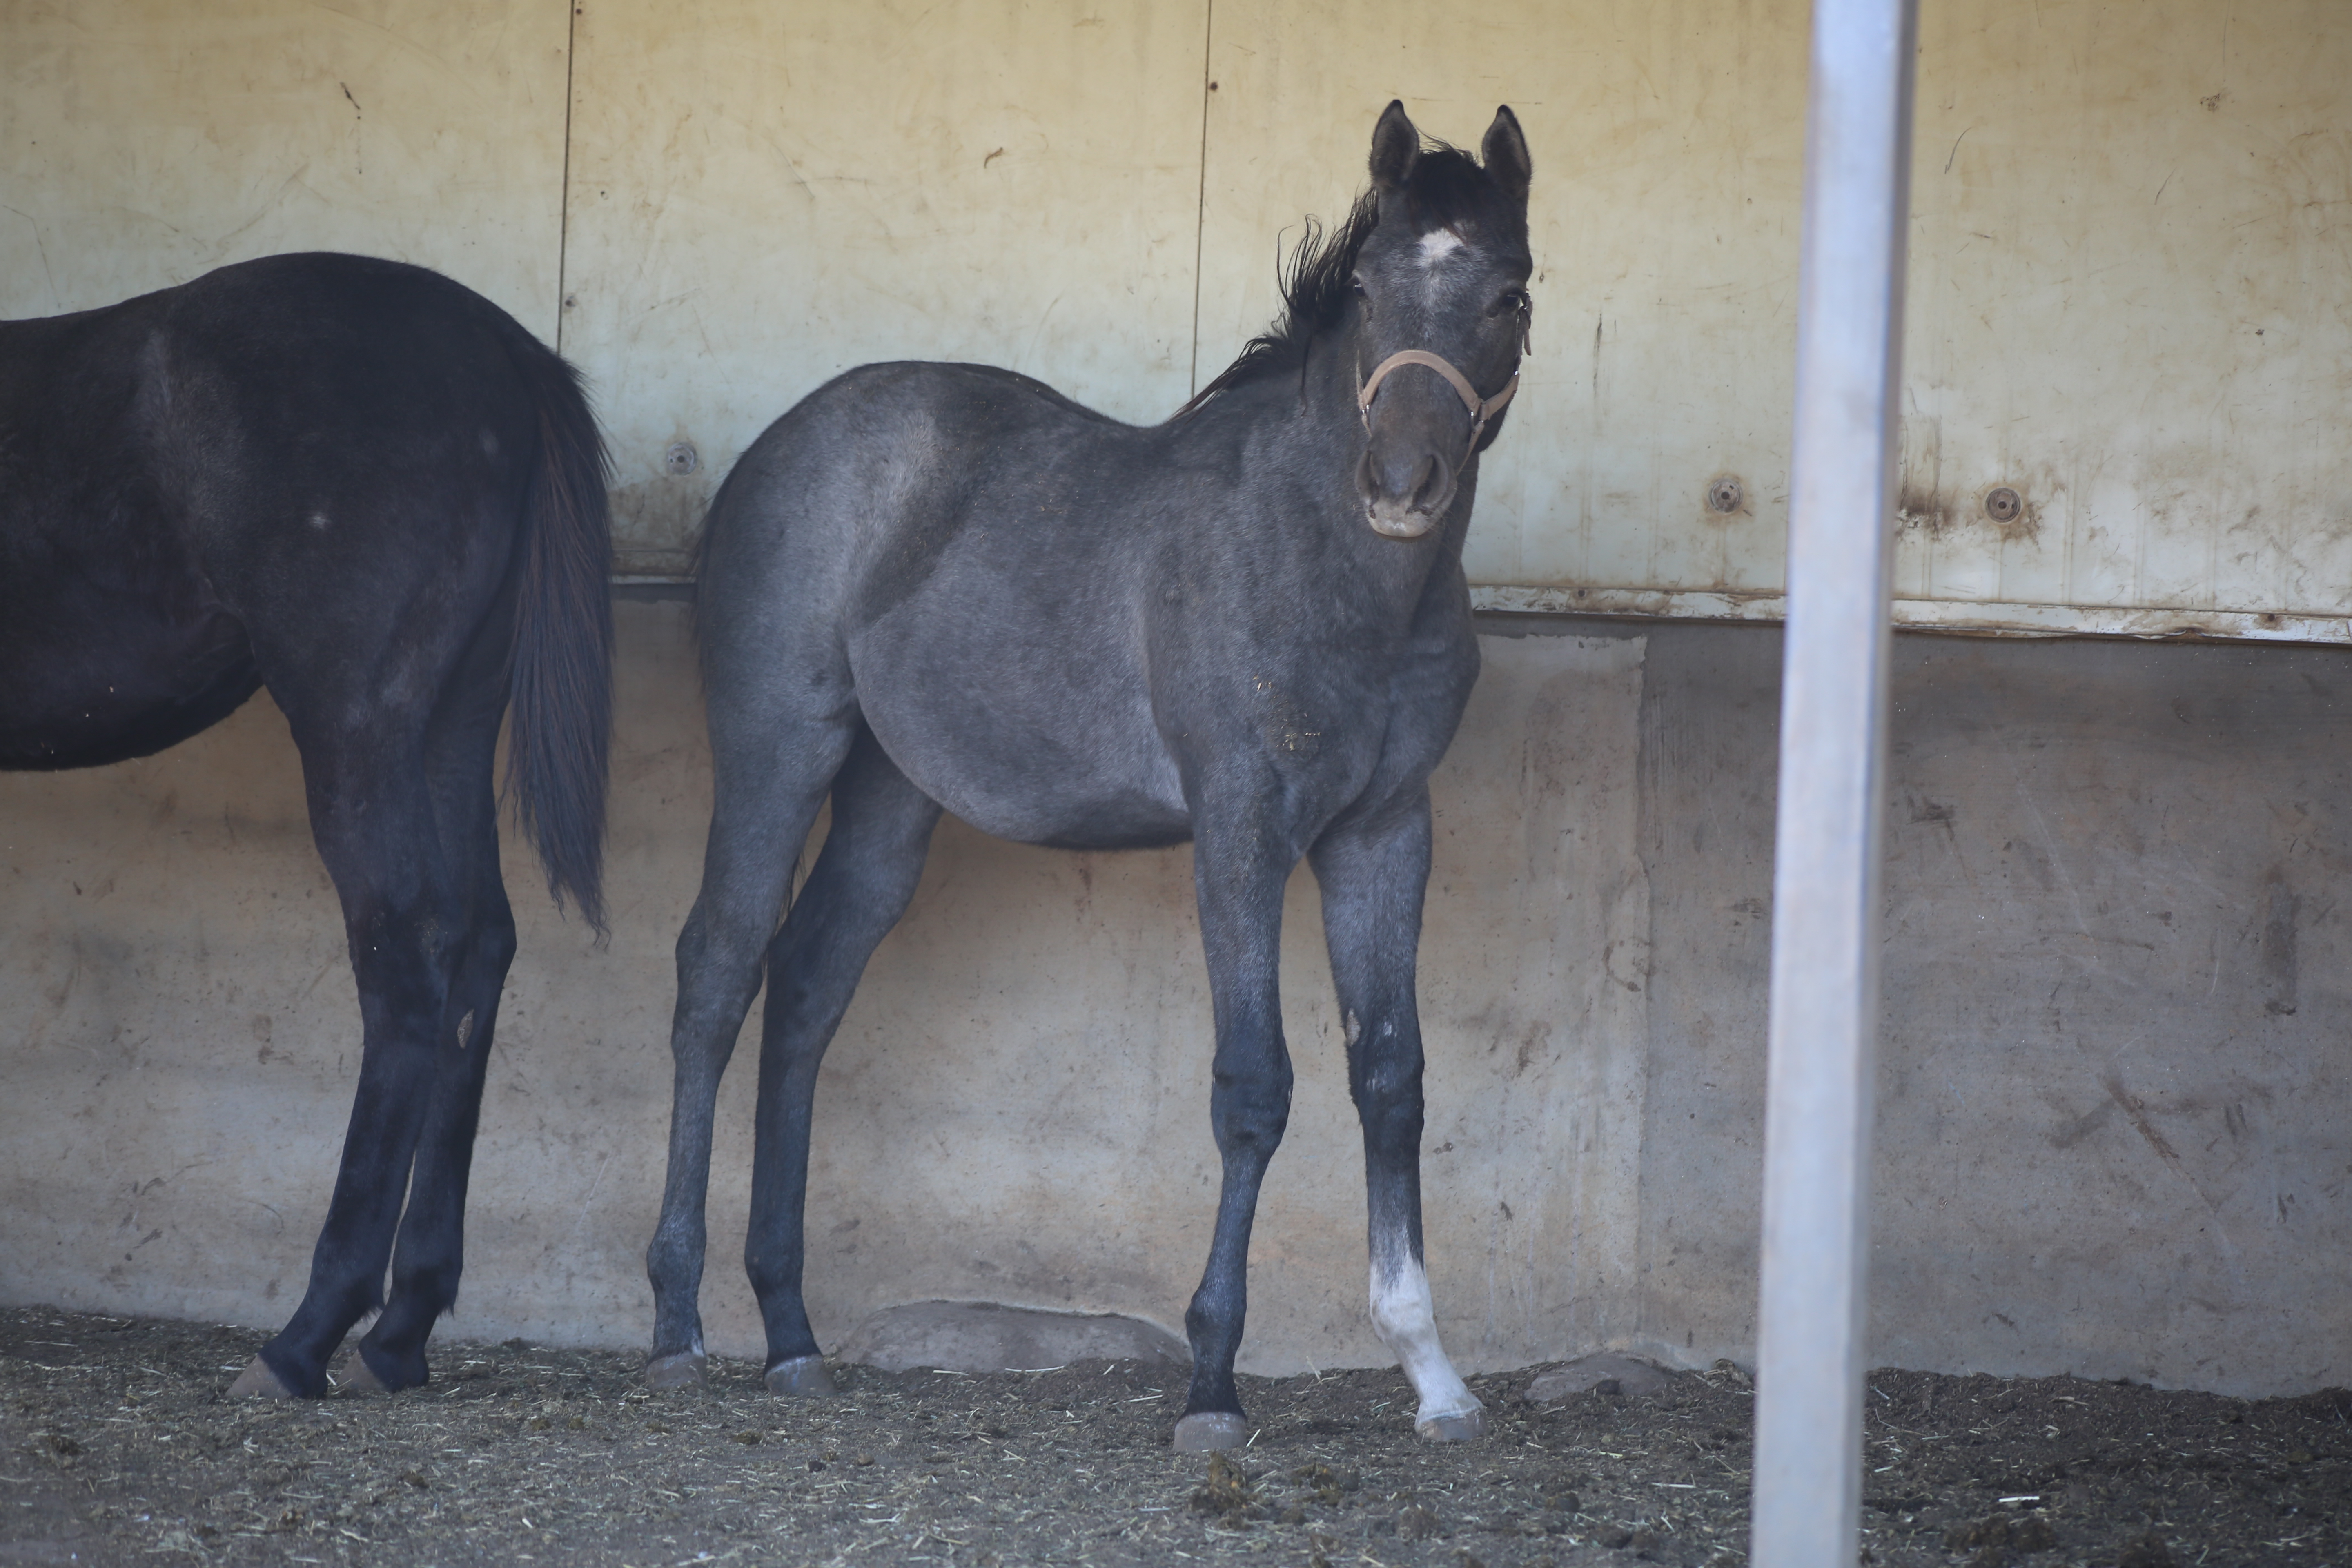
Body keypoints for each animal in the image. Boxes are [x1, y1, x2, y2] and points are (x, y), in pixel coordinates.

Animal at [0, 252, 616, 1401]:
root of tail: (504, 350)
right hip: (451, 720)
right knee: (478, 945)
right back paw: (400, 1329)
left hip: (353, 724)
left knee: (404, 958)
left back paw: (306, 1337)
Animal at [649, 101, 1524, 1448]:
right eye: (1372, 289)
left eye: (1510, 295)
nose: (1401, 487)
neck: (1335, 570)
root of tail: (775, 447)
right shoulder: (1241, 831)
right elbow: (1254, 1087)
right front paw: (1212, 1383)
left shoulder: (1384, 832)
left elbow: (1390, 1077)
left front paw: (1434, 1376)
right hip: (776, 749)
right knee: (718, 975)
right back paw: (679, 1324)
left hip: (893, 797)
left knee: (804, 988)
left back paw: (791, 1332)